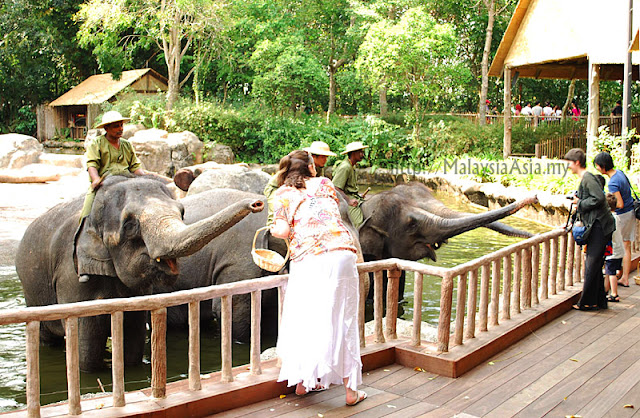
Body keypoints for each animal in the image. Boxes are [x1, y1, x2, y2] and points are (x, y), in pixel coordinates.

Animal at [16, 175, 264, 370]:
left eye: (182, 212)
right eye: (129, 225)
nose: (257, 204)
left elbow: (133, 335)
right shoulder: (71, 275)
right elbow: (86, 343)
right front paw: (90, 371)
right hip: (32, 290)